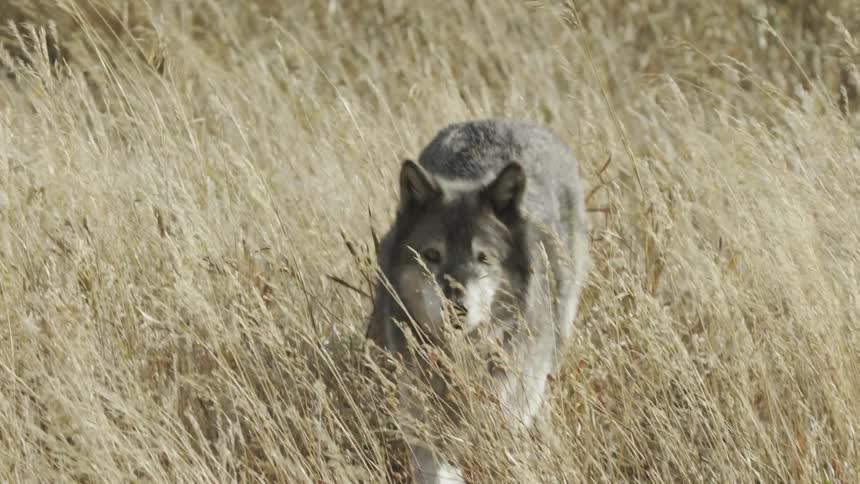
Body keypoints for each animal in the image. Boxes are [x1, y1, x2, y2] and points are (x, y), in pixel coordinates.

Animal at [366, 119, 590, 483]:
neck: (462, 359)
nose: (457, 308)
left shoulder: (505, 419)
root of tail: (505, 121)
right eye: (432, 255)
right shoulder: (427, 430)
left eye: (483, 258)